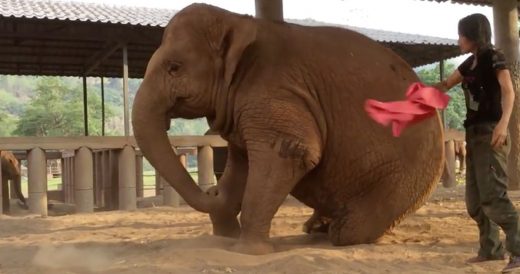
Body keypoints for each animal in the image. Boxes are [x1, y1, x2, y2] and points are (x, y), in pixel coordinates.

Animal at [132, 3, 444, 255]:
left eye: (174, 67)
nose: (211, 191)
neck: (239, 21)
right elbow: (242, 164)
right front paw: (224, 238)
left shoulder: (275, 95)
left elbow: (290, 152)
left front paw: (248, 252)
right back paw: (315, 227)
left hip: (397, 182)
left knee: (350, 231)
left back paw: (336, 229)